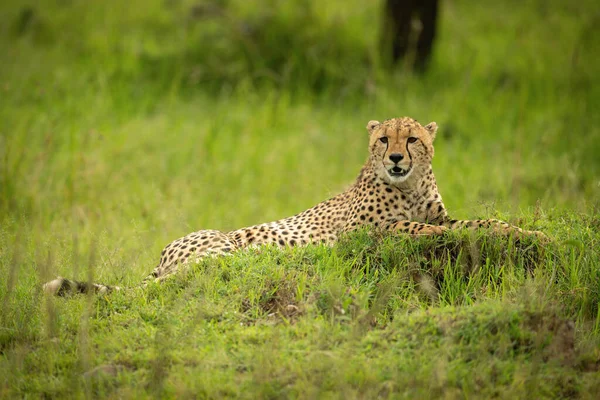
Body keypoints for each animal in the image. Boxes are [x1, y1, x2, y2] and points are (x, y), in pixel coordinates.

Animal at [44, 117, 548, 296]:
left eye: (412, 140)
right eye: (384, 139)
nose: (395, 158)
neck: (408, 185)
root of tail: (162, 255)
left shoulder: (442, 212)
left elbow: (484, 222)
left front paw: (530, 232)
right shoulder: (365, 233)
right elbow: (418, 229)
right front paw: (446, 235)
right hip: (218, 246)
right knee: (192, 275)